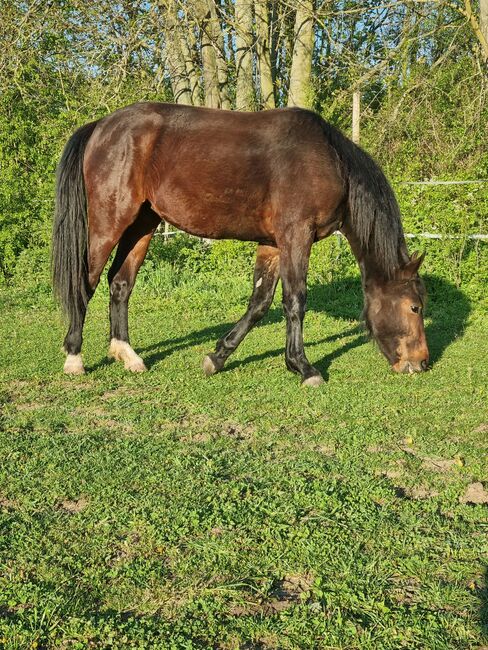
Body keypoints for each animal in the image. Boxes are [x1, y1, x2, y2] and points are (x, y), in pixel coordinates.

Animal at [51, 102, 428, 384]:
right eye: (414, 307)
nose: (422, 363)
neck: (331, 161)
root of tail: (101, 126)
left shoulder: (273, 243)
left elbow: (259, 303)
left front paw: (217, 357)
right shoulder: (296, 235)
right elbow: (295, 301)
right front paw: (304, 367)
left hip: (142, 223)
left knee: (120, 284)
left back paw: (127, 355)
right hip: (110, 221)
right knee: (85, 282)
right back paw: (74, 358)